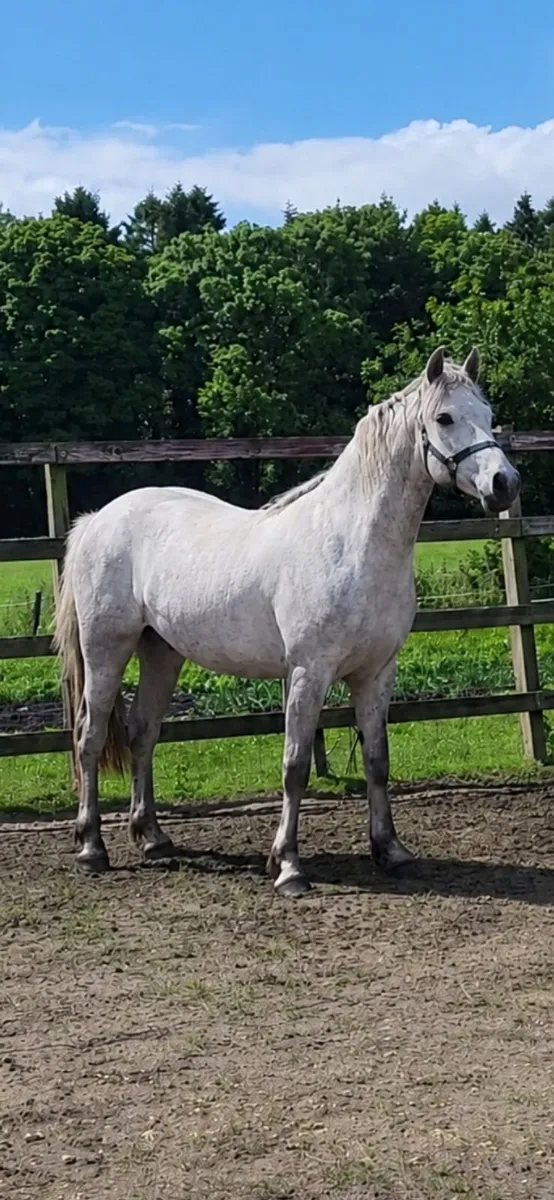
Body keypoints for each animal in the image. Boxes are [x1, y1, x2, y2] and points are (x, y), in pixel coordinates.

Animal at [55, 346, 520, 895]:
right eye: (444, 418)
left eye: (488, 414)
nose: (504, 484)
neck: (351, 542)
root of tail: (98, 519)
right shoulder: (308, 673)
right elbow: (295, 766)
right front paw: (289, 866)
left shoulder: (376, 674)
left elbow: (378, 761)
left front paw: (390, 851)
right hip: (106, 648)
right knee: (89, 738)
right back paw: (91, 847)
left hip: (161, 652)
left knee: (142, 733)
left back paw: (153, 839)